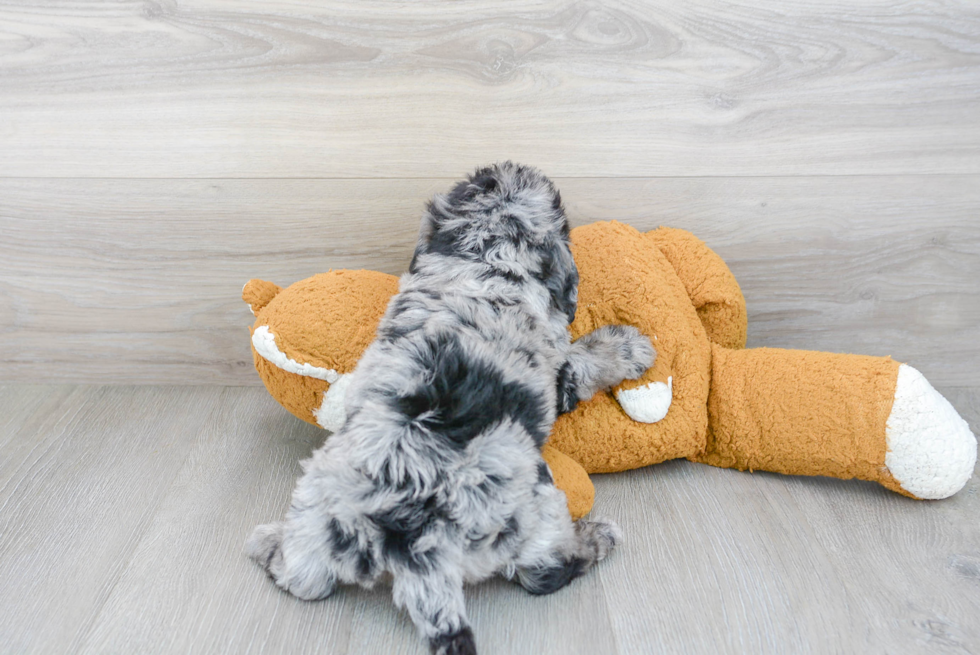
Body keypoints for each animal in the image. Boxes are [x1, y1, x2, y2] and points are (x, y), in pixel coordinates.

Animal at [249, 163, 656, 655]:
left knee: (305, 580)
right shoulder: (557, 371)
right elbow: (586, 358)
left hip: (317, 506)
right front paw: (630, 347)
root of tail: (412, 542)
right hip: (536, 507)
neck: (482, 261)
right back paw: (597, 538)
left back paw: (270, 545)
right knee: (543, 572)